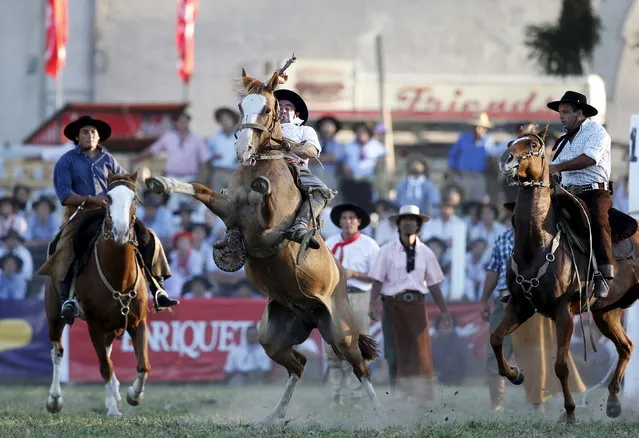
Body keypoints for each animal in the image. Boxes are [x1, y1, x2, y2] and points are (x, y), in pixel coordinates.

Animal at [43, 172, 151, 418]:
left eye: (134, 198)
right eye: (108, 199)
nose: (121, 231)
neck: (119, 275)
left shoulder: (138, 322)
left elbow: (142, 365)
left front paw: (133, 396)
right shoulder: (94, 325)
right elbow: (104, 366)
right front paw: (116, 406)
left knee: (107, 353)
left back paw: (115, 397)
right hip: (54, 314)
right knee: (57, 352)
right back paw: (55, 400)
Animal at [492, 127, 639, 424]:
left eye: (533, 145)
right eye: (511, 141)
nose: (505, 159)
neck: (536, 244)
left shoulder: (564, 312)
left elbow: (560, 365)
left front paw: (570, 413)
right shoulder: (519, 305)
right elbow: (496, 338)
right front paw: (515, 374)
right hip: (606, 313)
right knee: (626, 347)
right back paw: (613, 403)